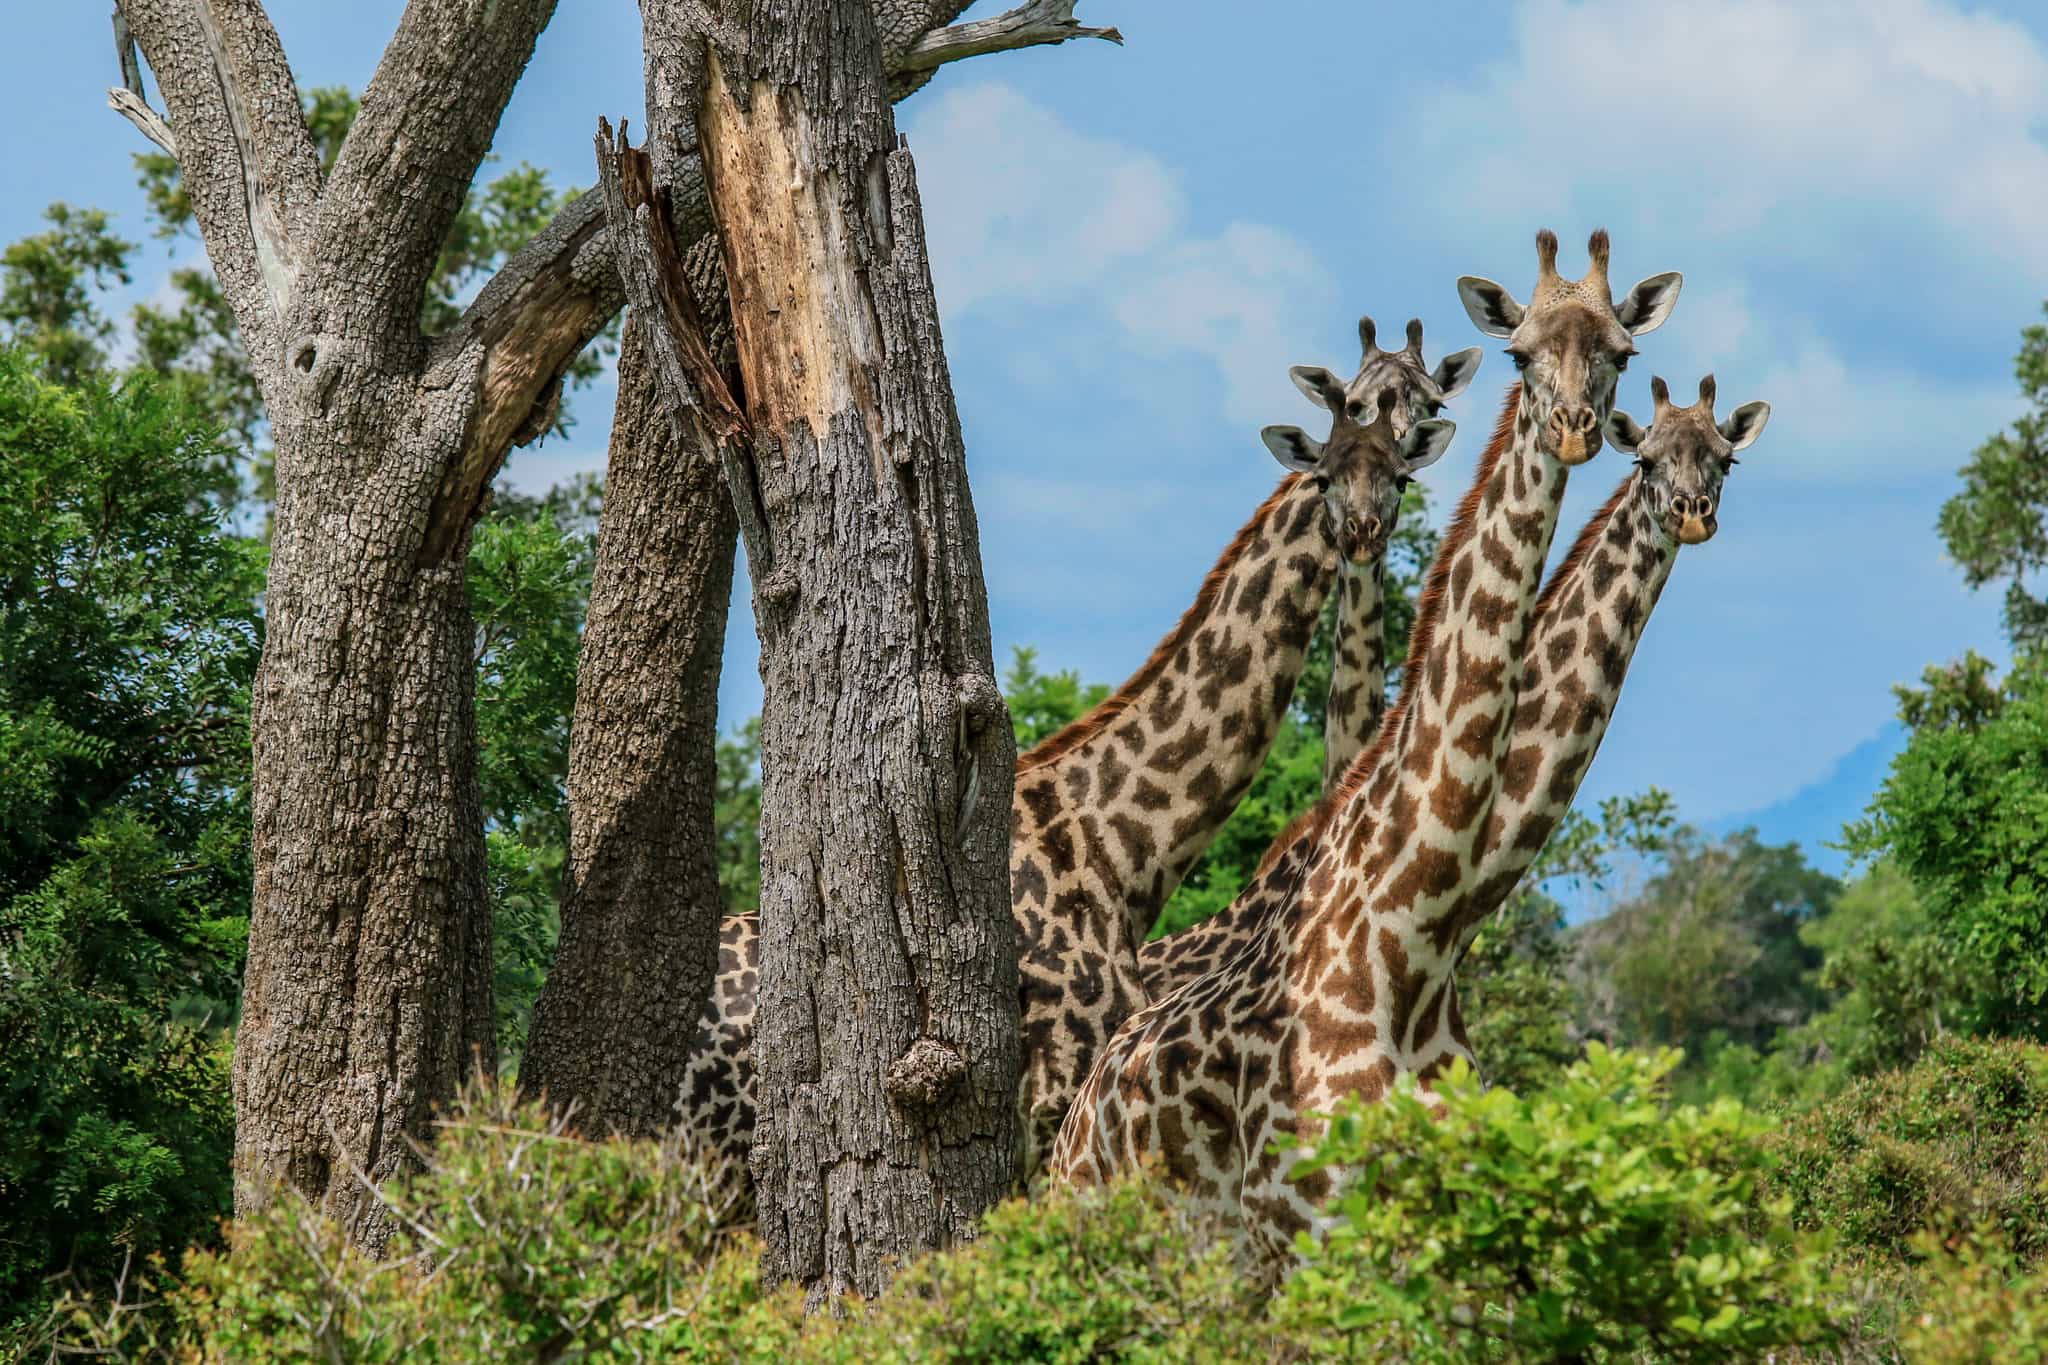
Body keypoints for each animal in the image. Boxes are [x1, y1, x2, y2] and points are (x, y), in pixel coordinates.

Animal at [1052, 230, 1685, 1269]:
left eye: (1622, 354)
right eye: (1520, 354)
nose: (1575, 430)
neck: (1409, 945)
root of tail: (1089, 1104)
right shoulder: (1303, 1227)